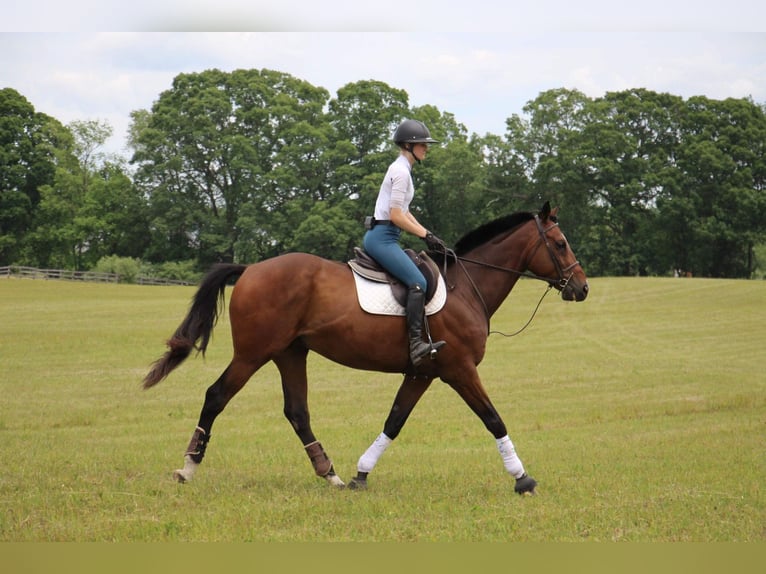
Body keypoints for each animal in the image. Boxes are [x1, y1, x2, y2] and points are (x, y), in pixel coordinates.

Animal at [142, 201, 588, 496]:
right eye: (560, 243)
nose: (582, 288)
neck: (467, 287)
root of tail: (250, 269)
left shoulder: (422, 372)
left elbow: (394, 421)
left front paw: (361, 474)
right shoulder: (459, 369)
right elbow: (493, 418)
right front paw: (523, 479)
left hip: (290, 353)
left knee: (297, 412)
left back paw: (331, 474)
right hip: (253, 353)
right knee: (216, 396)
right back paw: (187, 468)